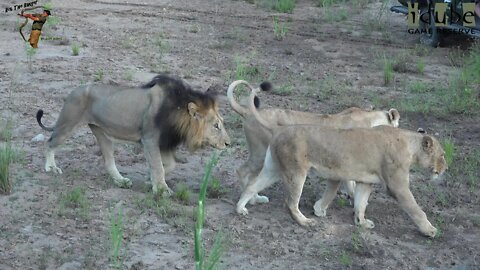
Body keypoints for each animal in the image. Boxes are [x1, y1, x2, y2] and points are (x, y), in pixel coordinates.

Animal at [37, 74, 231, 194]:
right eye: (216, 126)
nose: (228, 143)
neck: (177, 111)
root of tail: (73, 91)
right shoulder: (150, 139)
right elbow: (159, 166)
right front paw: (162, 190)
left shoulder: (163, 143)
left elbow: (168, 165)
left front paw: (149, 180)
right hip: (68, 124)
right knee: (49, 143)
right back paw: (51, 167)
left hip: (102, 133)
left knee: (109, 162)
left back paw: (121, 181)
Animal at [227, 80, 400, 205]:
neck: (370, 121)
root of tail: (247, 111)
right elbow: (351, 184)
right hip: (261, 153)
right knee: (242, 171)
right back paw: (253, 199)